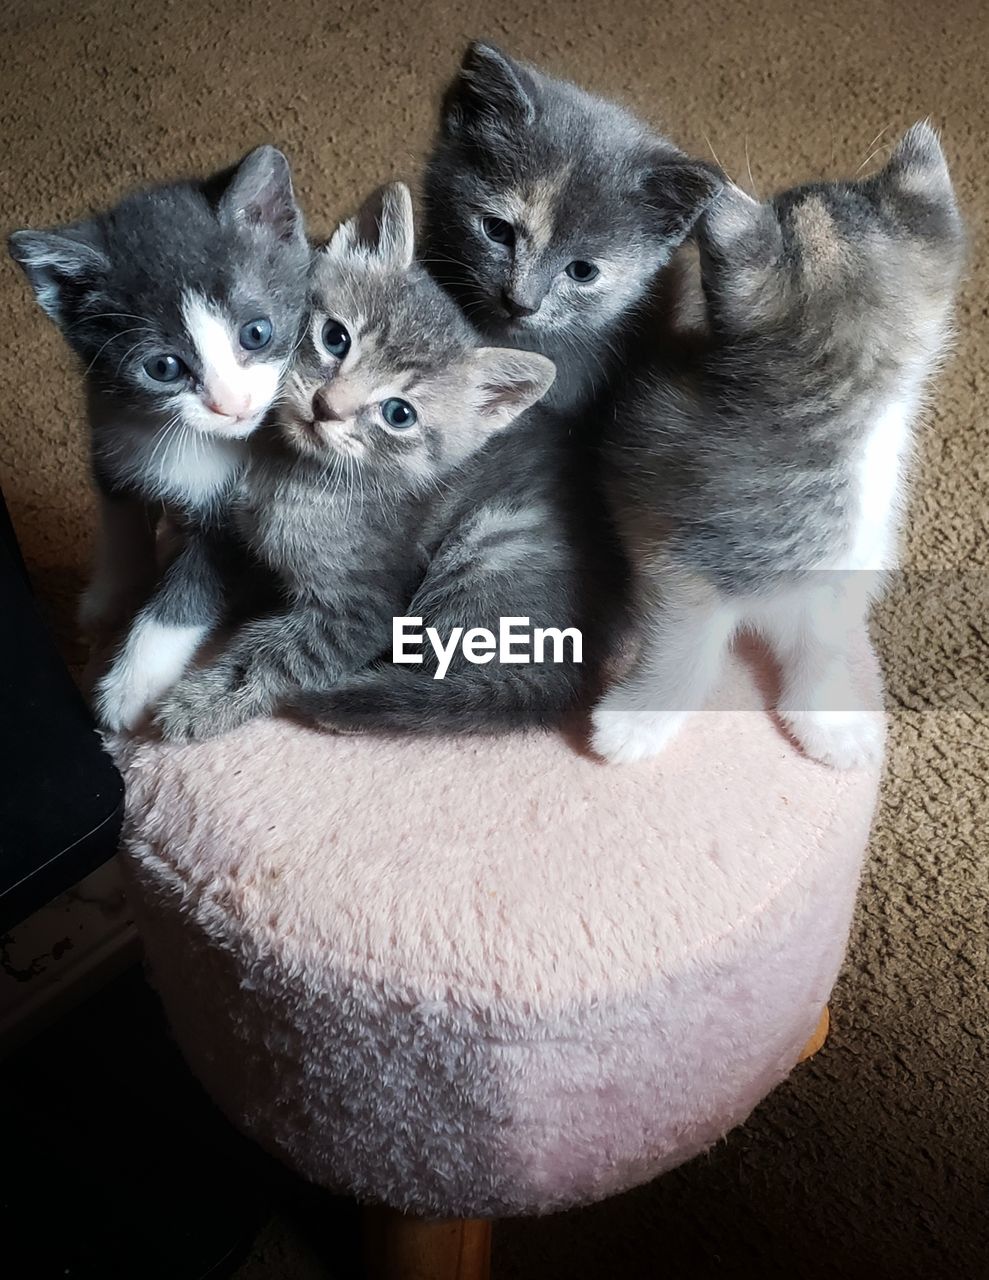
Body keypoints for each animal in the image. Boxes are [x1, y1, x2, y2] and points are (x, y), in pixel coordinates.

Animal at [7, 146, 307, 732]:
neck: (186, 440)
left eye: (256, 332)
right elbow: (119, 508)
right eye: (163, 367)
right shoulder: (107, 420)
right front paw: (113, 591)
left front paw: (130, 684)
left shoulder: (246, 513)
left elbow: (190, 592)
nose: (233, 405)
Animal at [154, 180, 555, 742]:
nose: (328, 407)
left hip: (484, 547)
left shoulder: (363, 610)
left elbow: (275, 656)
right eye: (335, 338)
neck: (290, 472)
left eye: (398, 413)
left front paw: (199, 704)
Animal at [591, 124, 962, 768]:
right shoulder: (684, 563)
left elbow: (823, 645)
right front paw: (642, 716)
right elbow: (683, 649)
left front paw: (825, 718)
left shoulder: (841, 572)